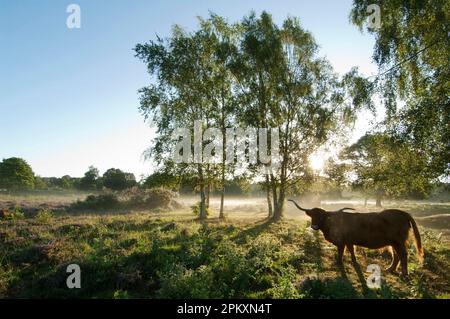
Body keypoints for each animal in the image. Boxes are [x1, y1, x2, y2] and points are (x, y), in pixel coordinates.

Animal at [290, 200, 424, 278]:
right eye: (312, 216)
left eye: (322, 216)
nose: (314, 226)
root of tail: (404, 213)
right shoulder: (349, 241)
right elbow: (351, 250)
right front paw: (354, 262)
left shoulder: (341, 241)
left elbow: (341, 252)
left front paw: (339, 263)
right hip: (393, 242)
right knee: (396, 255)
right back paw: (389, 269)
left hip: (398, 241)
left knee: (403, 255)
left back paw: (404, 274)